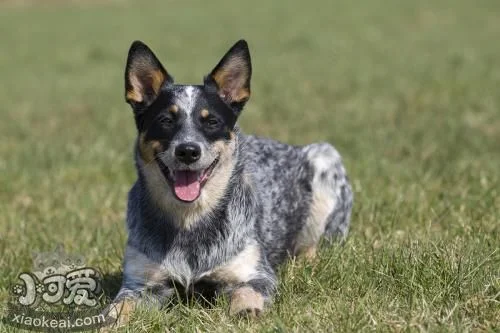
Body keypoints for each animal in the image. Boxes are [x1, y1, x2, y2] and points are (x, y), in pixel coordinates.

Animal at [105, 38, 354, 324]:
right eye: (166, 120)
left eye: (211, 121)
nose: (188, 151)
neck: (189, 219)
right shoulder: (140, 284)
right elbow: (117, 309)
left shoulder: (253, 274)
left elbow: (246, 294)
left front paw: (246, 311)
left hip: (325, 158)